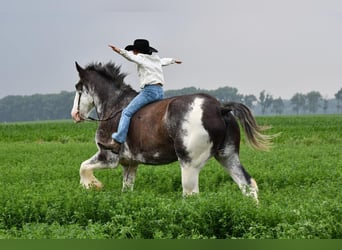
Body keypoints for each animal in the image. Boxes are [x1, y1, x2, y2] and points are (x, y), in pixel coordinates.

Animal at [71, 61, 272, 203]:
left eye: (78, 87)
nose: (74, 115)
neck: (114, 106)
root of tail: (220, 108)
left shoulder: (108, 157)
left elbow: (83, 167)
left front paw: (93, 186)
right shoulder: (130, 164)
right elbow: (126, 189)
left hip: (190, 165)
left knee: (191, 195)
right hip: (227, 156)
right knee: (248, 186)